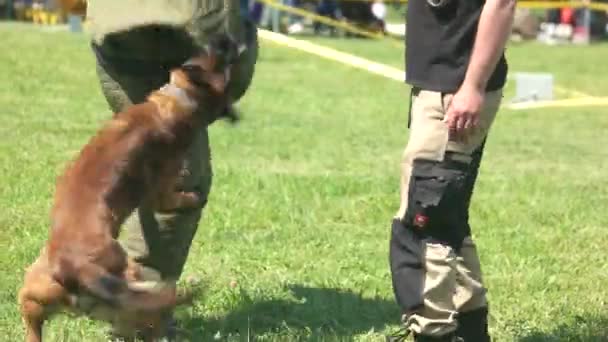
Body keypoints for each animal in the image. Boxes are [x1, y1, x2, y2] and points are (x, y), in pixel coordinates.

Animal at [19, 35, 242, 342]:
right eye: (221, 57)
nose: (228, 38)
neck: (177, 100)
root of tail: (75, 268)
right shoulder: (162, 187)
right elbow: (175, 198)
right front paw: (193, 198)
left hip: (33, 290)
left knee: (33, 325)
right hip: (134, 281)